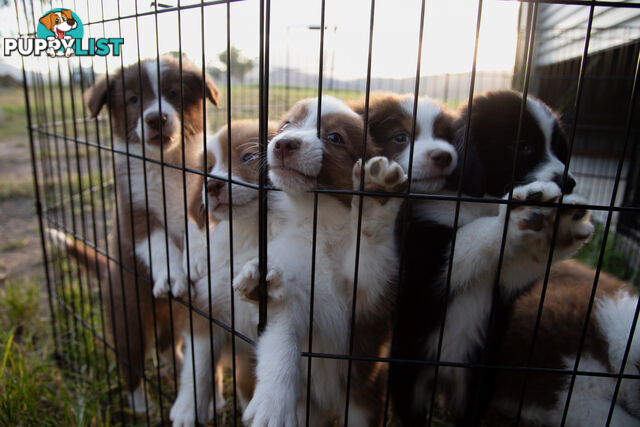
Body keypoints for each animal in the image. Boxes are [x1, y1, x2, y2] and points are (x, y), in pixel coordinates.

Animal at [82, 55, 220, 412]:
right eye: (133, 100)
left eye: (173, 93)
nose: (156, 118)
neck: (165, 165)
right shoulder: (132, 211)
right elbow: (157, 242)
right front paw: (172, 275)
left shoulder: (201, 195)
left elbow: (195, 226)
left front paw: (198, 259)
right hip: (127, 318)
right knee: (131, 364)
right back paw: (140, 404)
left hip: (178, 317)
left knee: (167, 344)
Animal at [170, 119, 280, 427]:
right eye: (207, 167)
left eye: (248, 157)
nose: (211, 185)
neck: (247, 232)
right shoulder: (205, 309)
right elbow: (198, 369)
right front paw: (187, 408)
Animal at [232, 97, 408, 427]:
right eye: (287, 124)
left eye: (334, 137)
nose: (284, 144)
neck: (319, 220)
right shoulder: (291, 295)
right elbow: (280, 341)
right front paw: (273, 404)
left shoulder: (368, 298)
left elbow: (372, 246)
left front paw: (376, 194)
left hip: (363, 401)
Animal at [390, 88, 596, 426]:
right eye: (522, 146)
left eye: (557, 148)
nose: (568, 183)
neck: (482, 199)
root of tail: (444, 373)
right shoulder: (427, 262)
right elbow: (471, 238)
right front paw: (515, 215)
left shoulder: (506, 278)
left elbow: (524, 259)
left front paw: (564, 224)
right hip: (409, 371)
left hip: (478, 382)